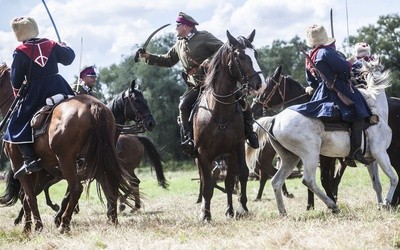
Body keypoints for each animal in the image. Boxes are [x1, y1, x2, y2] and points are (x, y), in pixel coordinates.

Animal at [0, 64, 138, 232]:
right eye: (137, 101)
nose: (150, 122)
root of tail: (94, 107)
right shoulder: (35, 171)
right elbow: (29, 196)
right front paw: (33, 225)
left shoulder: (20, 166)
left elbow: (30, 197)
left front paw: (34, 227)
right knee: (109, 185)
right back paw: (112, 220)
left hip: (65, 161)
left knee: (76, 189)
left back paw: (63, 223)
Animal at [194, 30, 266, 221]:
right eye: (241, 56)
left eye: (255, 54)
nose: (260, 85)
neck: (219, 109)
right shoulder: (203, 153)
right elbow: (208, 184)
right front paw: (206, 215)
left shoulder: (234, 149)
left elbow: (231, 180)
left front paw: (232, 210)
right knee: (205, 179)